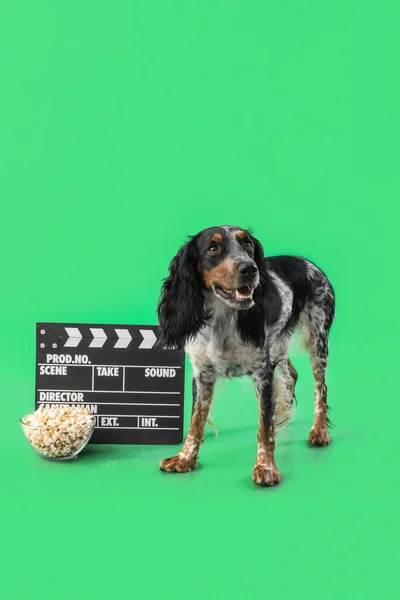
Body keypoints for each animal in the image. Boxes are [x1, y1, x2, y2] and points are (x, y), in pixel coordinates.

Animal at [156, 226, 334, 488]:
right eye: (212, 248)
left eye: (247, 244)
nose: (250, 269)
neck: (222, 320)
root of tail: (307, 262)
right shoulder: (202, 374)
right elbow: (196, 420)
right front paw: (185, 458)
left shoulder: (263, 372)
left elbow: (264, 427)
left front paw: (266, 467)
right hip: (279, 344)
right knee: (291, 374)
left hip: (317, 339)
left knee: (320, 387)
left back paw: (319, 431)